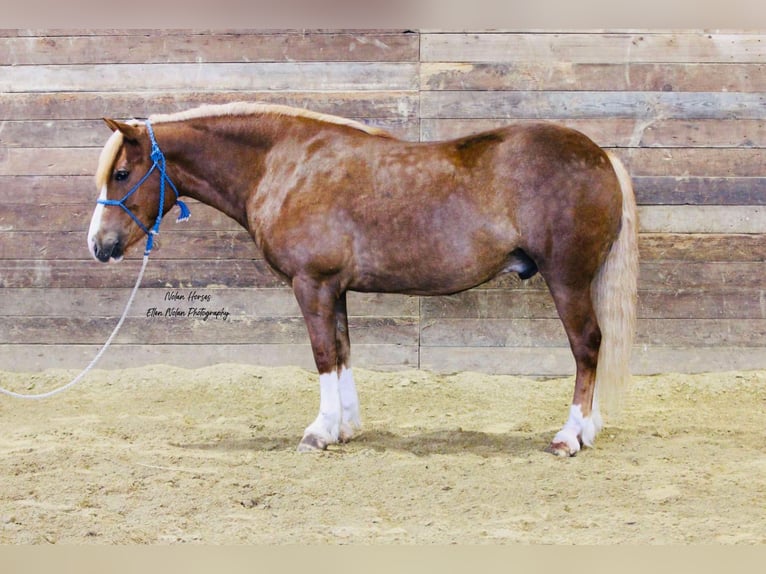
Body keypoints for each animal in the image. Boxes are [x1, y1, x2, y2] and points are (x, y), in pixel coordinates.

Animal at [87, 101, 640, 456]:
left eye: (121, 174)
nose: (99, 245)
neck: (284, 164)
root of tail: (599, 154)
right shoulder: (334, 288)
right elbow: (343, 351)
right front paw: (345, 428)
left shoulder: (311, 283)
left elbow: (322, 354)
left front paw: (318, 433)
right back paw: (588, 430)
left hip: (567, 280)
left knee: (587, 346)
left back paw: (570, 437)